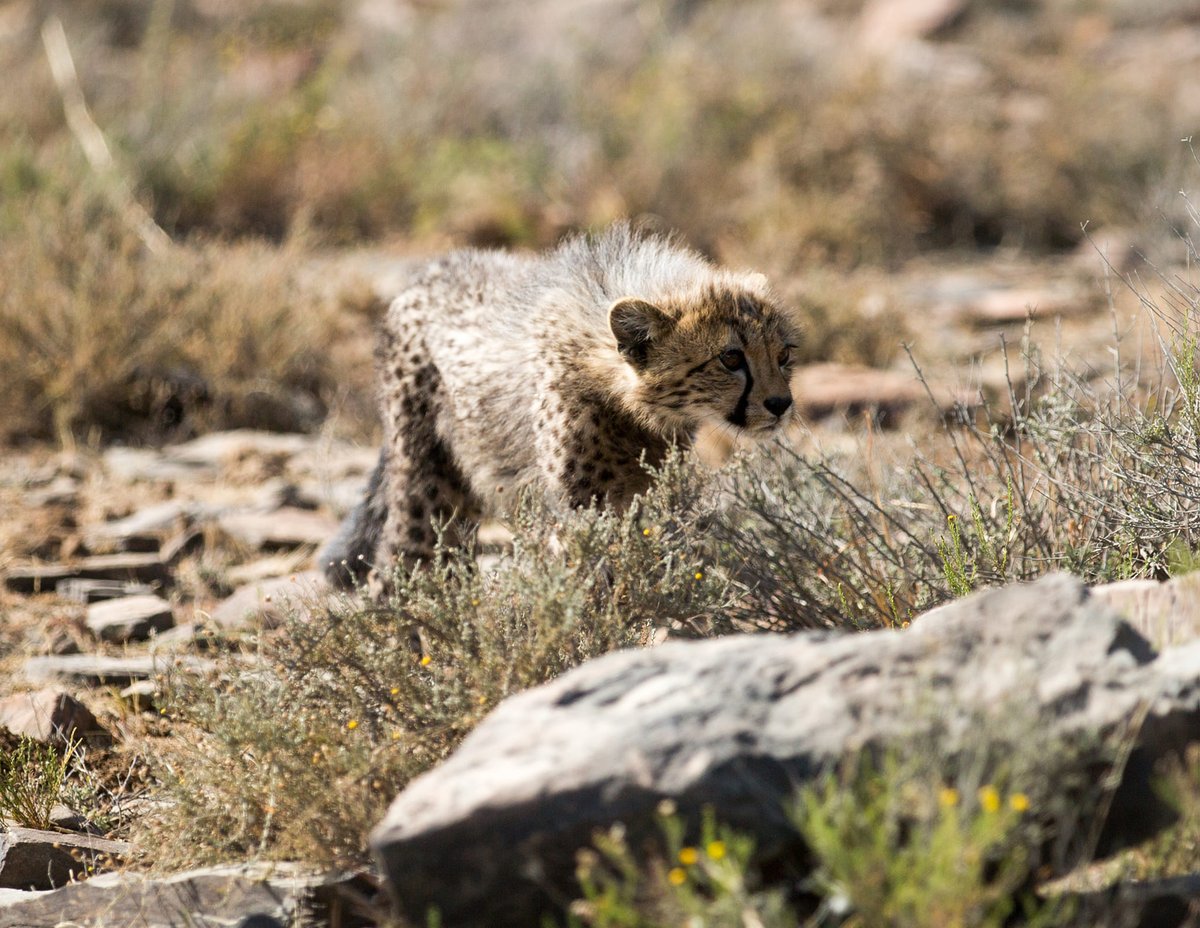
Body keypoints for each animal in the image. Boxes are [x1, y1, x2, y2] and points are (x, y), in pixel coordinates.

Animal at [321, 223, 801, 588]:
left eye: (783, 355)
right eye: (731, 358)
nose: (780, 404)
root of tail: (432, 270)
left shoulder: (645, 494)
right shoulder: (581, 506)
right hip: (430, 475)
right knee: (410, 560)